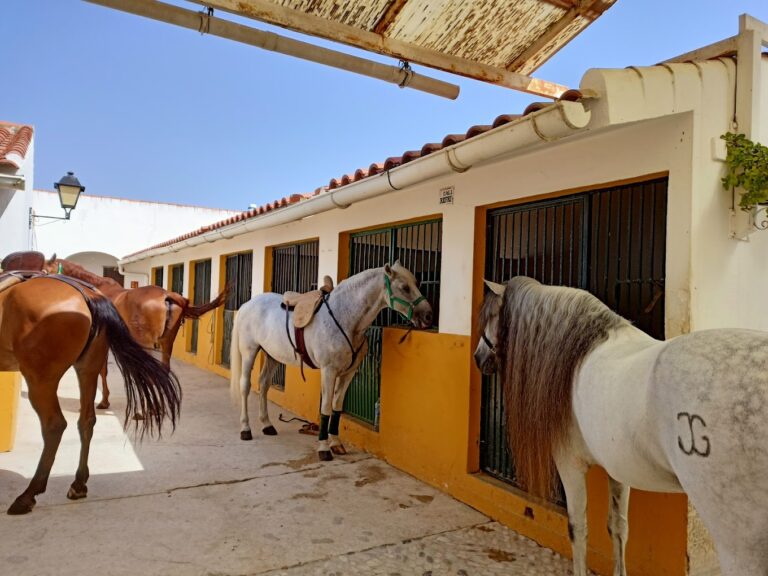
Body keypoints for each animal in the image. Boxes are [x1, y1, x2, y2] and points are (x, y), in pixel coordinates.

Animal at [0, 272, 181, 515]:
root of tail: (90, 297)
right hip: (86, 369)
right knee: (86, 421)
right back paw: (78, 484)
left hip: (41, 379)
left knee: (55, 425)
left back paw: (29, 494)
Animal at [43, 256, 226, 409]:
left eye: (45, 271)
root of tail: (167, 295)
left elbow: (102, 370)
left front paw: (104, 401)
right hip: (167, 342)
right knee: (164, 370)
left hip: (148, 343)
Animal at [230, 261, 432, 461]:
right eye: (405, 287)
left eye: (416, 283)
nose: (428, 315)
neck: (345, 318)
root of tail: (247, 304)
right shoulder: (329, 370)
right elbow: (326, 407)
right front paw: (324, 449)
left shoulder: (348, 373)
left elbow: (337, 407)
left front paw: (336, 444)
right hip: (249, 352)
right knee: (245, 386)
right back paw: (245, 429)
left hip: (272, 355)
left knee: (264, 384)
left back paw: (267, 425)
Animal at [473, 276, 768, 576]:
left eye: (492, 316)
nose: (477, 357)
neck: (582, 351)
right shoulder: (617, 468)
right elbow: (618, 527)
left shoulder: (569, 464)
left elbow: (577, 528)